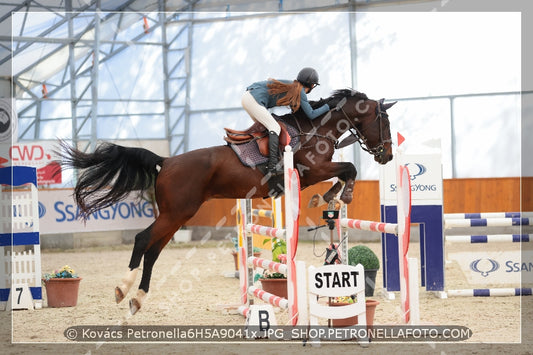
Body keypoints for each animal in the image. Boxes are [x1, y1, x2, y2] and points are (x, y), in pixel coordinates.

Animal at [59, 88, 394, 314]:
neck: (316, 129)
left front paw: (330, 196)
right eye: (386, 121)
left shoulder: (315, 173)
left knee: (153, 250)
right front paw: (342, 193)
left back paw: (137, 299)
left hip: (178, 215)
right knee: (143, 240)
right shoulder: (312, 170)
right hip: (175, 213)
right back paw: (122, 289)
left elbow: (343, 172)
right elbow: (347, 169)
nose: (387, 156)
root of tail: (165, 161)